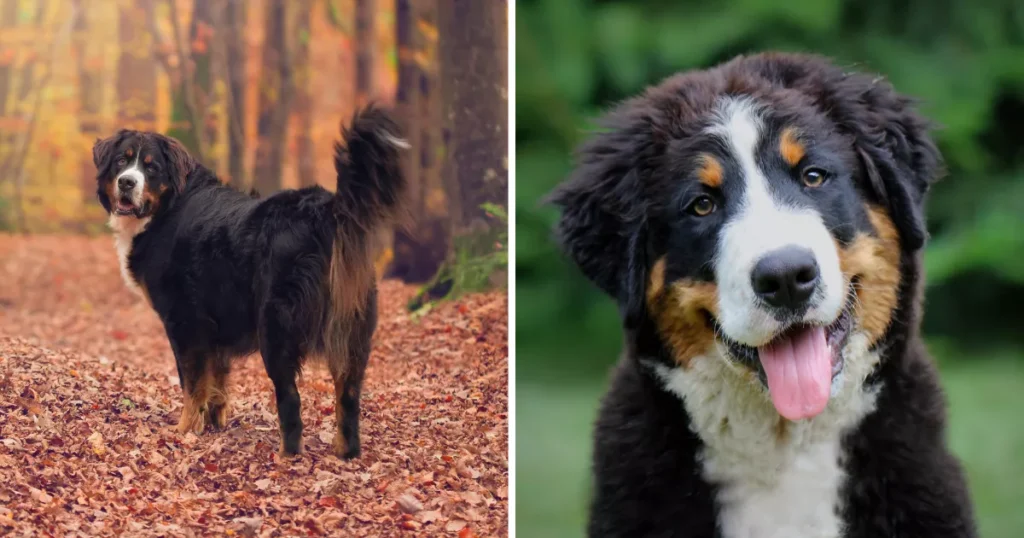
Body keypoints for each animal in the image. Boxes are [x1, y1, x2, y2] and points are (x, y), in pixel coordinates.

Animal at [90, 107, 405, 459]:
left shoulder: (185, 322)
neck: (168, 207)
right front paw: (213, 424)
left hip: (276, 330)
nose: (127, 182)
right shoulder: (214, 327)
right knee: (348, 396)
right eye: (121, 161)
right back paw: (345, 451)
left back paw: (287, 456)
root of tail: (325, 209)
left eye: (151, 167)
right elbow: (216, 381)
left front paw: (184, 430)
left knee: (290, 400)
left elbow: (192, 384)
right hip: (352, 330)